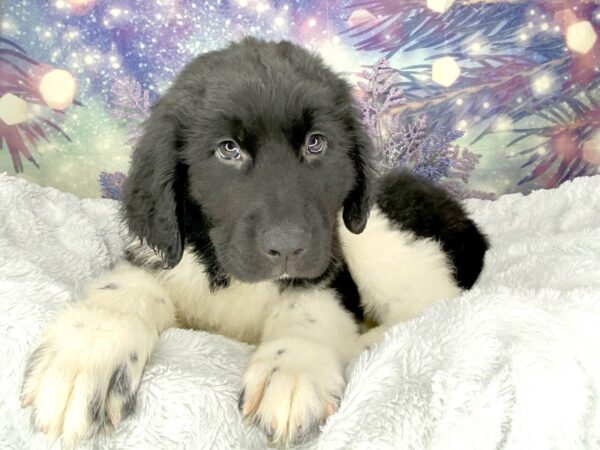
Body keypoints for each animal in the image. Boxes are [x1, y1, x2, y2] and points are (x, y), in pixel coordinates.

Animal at [21, 37, 490, 446]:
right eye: (228, 150)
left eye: (316, 144)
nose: (287, 248)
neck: (229, 277)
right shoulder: (161, 259)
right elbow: (122, 294)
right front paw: (84, 357)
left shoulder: (329, 264)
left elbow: (309, 311)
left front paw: (293, 368)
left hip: (377, 235)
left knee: (428, 310)